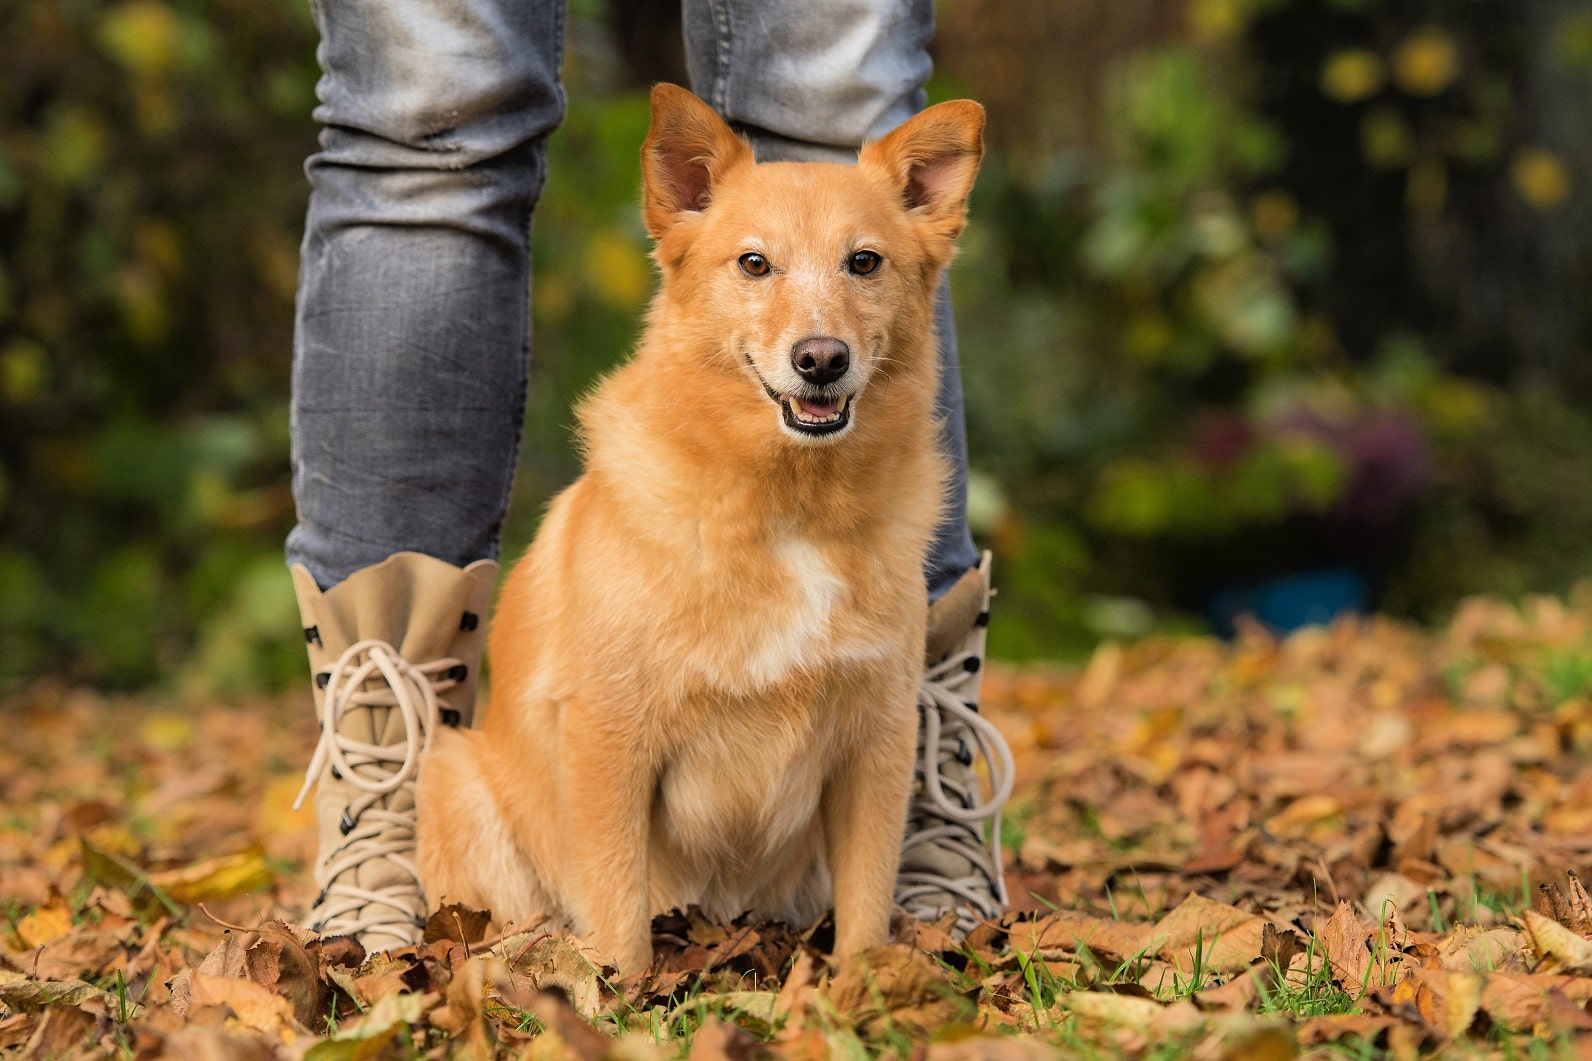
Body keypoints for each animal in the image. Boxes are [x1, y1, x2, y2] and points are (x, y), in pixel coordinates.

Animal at [413, 86, 980, 968]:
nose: (822, 359)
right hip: (457, 779)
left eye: (864, 262)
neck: (788, 510)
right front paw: (616, 993)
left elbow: (865, 906)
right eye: (753, 264)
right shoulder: (610, 737)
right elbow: (619, 915)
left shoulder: (876, 744)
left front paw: (867, 986)